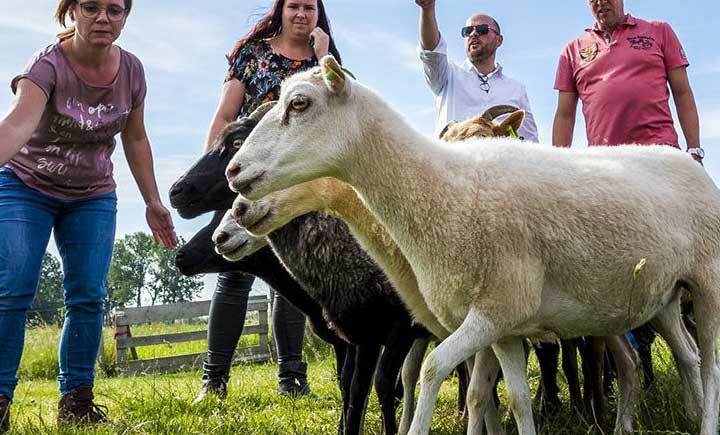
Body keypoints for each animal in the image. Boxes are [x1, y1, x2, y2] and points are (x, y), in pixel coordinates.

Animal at [226, 57, 716, 435]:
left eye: (299, 103)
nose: (234, 172)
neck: (448, 189)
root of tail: (684, 158)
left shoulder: (493, 311)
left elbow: (433, 372)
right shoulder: (506, 326)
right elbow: (513, 398)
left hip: (707, 282)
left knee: (708, 364)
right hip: (662, 297)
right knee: (689, 357)